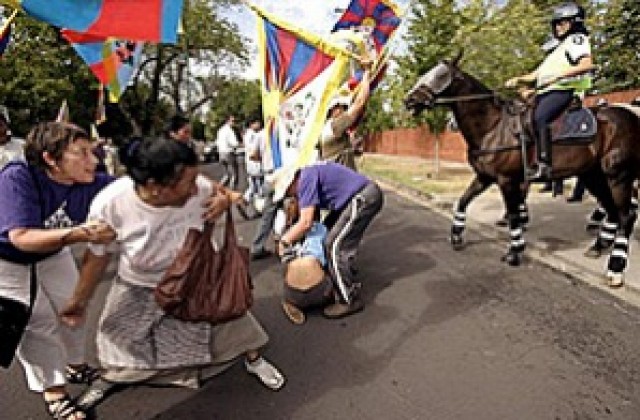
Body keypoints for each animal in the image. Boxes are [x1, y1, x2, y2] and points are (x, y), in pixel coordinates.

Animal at [404, 55, 640, 288]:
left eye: (439, 75)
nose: (409, 100)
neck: (492, 127)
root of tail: (630, 115)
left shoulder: (507, 180)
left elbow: (514, 214)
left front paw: (514, 251)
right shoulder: (484, 177)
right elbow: (462, 202)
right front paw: (456, 237)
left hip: (617, 175)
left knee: (626, 215)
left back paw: (615, 269)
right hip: (593, 175)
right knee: (613, 211)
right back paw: (599, 246)